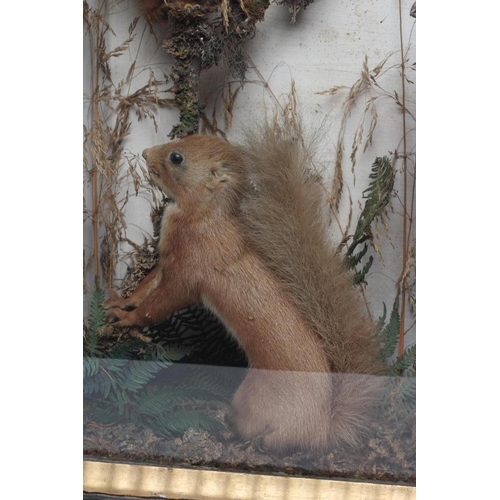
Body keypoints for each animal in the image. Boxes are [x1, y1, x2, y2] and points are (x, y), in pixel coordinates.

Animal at [104, 122, 382, 454]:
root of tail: (321, 427)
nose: (146, 152)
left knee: (269, 437)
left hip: (254, 401)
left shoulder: (188, 272)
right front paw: (119, 303)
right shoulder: (168, 262)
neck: (198, 220)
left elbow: (158, 305)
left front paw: (127, 319)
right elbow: (147, 287)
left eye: (177, 157)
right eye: (184, 138)